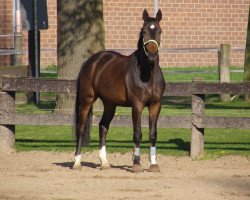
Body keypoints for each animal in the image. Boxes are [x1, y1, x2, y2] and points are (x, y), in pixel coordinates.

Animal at [73, 9, 166, 172]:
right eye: (143, 31)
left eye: (159, 30)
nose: (152, 53)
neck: (147, 74)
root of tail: (91, 61)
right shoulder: (137, 105)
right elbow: (137, 133)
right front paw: (136, 164)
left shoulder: (156, 105)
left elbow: (153, 133)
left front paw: (154, 164)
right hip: (86, 99)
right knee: (81, 128)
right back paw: (77, 162)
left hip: (110, 104)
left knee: (103, 126)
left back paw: (104, 162)